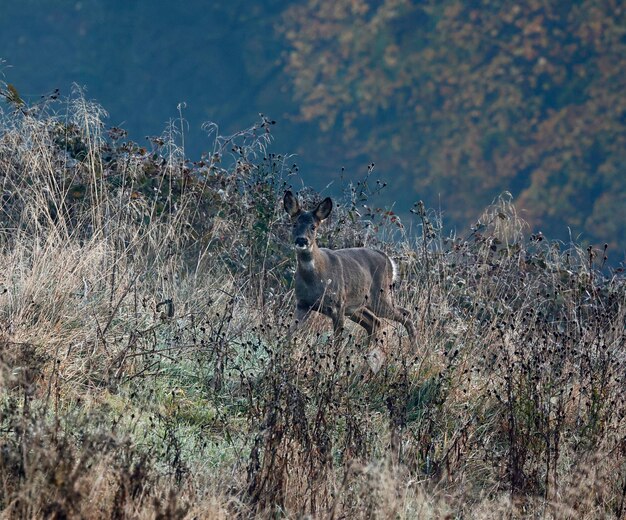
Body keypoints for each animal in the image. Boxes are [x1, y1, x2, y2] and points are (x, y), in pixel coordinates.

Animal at [282, 191, 414, 346]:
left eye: (313, 226)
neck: (314, 279)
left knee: (405, 315)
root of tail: (388, 259)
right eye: (294, 224)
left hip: (380, 296)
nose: (302, 240)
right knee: (375, 322)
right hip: (357, 305)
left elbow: (337, 341)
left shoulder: (338, 304)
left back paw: (413, 348)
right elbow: (289, 333)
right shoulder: (302, 304)